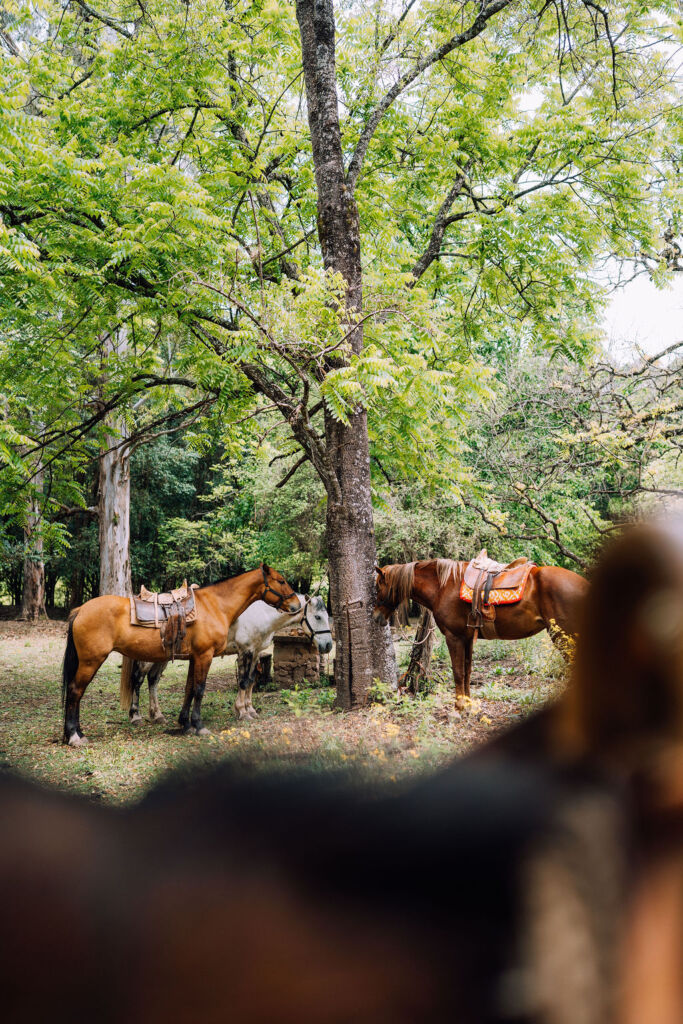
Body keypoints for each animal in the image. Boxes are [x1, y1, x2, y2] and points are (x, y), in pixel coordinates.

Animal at [61, 564, 300, 746]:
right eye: (281, 580)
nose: (296, 604)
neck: (215, 605)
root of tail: (81, 610)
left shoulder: (196, 657)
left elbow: (189, 689)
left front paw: (185, 723)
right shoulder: (205, 656)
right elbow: (200, 690)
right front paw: (199, 726)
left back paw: (78, 733)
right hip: (92, 662)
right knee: (75, 691)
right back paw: (74, 736)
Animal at [123, 594, 333, 724]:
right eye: (317, 617)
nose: (328, 646)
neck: (261, 615)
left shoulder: (256, 653)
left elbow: (250, 681)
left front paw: (250, 709)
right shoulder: (245, 651)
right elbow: (243, 682)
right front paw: (242, 712)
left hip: (162, 658)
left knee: (153, 680)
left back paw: (157, 715)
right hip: (148, 659)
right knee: (138, 680)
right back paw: (135, 716)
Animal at [373, 558, 588, 705]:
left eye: (377, 587)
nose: (375, 616)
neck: (444, 586)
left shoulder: (454, 637)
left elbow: (458, 672)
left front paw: (459, 707)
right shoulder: (467, 638)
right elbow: (467, 672)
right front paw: (468, 705)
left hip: (563, 637)